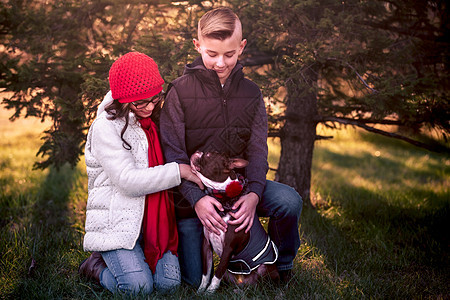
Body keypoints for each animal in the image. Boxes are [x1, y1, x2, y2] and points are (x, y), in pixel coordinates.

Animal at [189, 150, 278, 292]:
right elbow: (206, 273)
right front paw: (200, 291)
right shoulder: (206, 244)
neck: (223, 195)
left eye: (208, 155)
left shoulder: (228, 248)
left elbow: (217, 273)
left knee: (262, 286)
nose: (197, 151)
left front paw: (209, 292)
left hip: (264, 268)